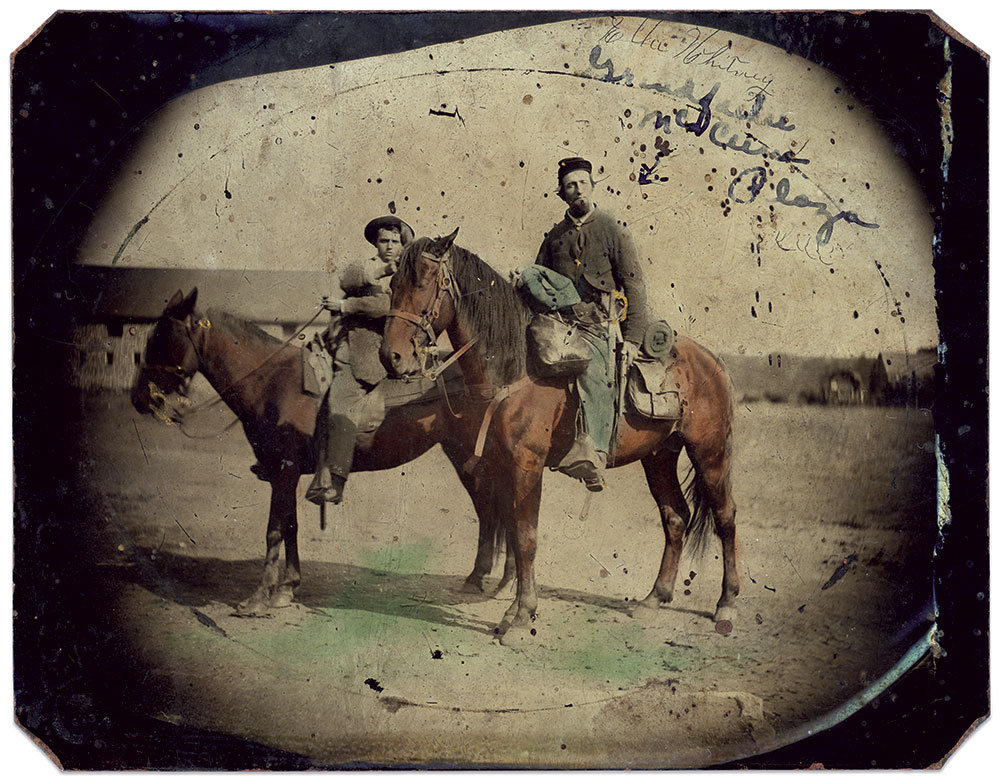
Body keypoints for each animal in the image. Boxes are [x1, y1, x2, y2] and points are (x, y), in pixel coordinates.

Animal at [130, 288, 512, 616]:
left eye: (163, 337)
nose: (139, 397)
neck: (271, 383)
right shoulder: (284, 474)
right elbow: (290, 526)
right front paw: (287, 589)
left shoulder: (283, 471)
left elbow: (274, 530)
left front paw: (258, 598)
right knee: (490, 510)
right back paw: (484, 579)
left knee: (498, 510)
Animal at [378, 233, 740, 640]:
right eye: (392, 285)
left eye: (422, 284)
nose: (391, 357)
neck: (516, 369)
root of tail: (710, 359)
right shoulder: (501, 466)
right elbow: (512, 532)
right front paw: (514, 605)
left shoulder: (528, 465)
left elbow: (526, 536)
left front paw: (521, 615)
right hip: (659, 455)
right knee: (676, 516)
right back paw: (654, 598)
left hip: (709, 452)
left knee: (725, 516)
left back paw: (726, 604)